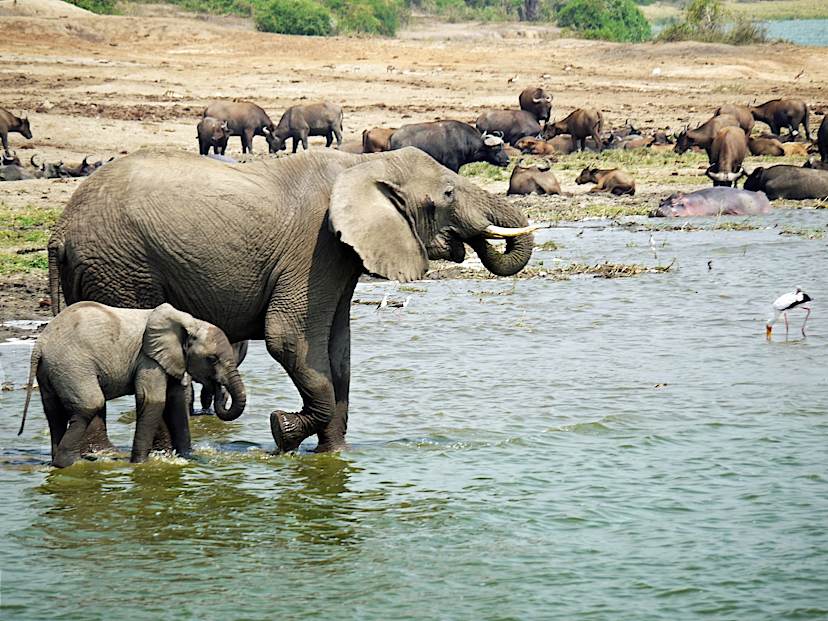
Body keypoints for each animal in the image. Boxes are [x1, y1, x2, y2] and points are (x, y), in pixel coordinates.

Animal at [19, 302, 246, 467]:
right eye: (212, 359)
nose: (219, 390)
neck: (189, 322)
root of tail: (40, 344)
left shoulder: (169, 359)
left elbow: (175, 402)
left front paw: (187, 458)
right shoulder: (148, 359)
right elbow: (153, 400)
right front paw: (140, 465)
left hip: (51, 370)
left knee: (53, 412)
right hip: (72, 365)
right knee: (90, 404)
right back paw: (68, 463)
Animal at [48, 147, 536, 453]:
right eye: (448, 195)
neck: (363, 164)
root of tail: (60, 229)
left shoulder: (340, 255)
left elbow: (337, 352)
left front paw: (334, 457)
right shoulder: (316, 246)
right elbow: (289, 338)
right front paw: (281, 432)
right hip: (122, 268)